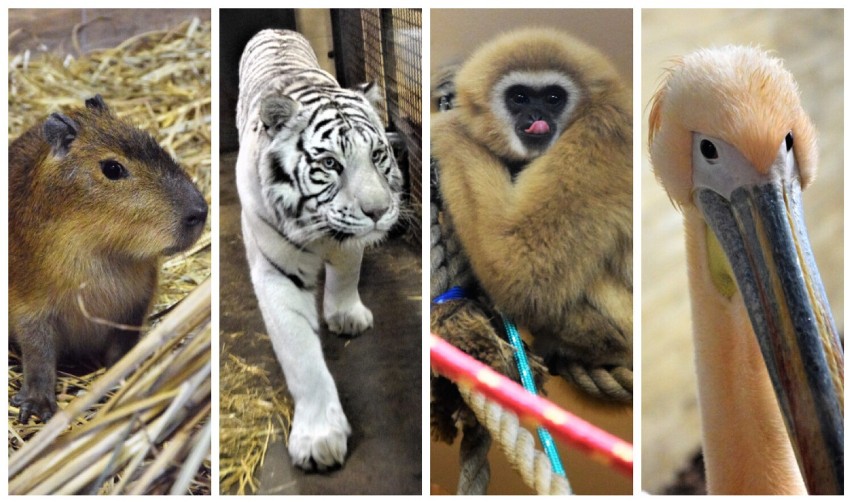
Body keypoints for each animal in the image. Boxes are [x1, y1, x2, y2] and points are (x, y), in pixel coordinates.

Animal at [235, 28, 404, 472]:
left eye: (377, 155)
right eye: (329, 164)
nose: (379, 211)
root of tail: (274, 29)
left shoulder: (348, 239)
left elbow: (347, 274)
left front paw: (345, 315)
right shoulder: (276, 271)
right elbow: (300, 355)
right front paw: (319, 438)